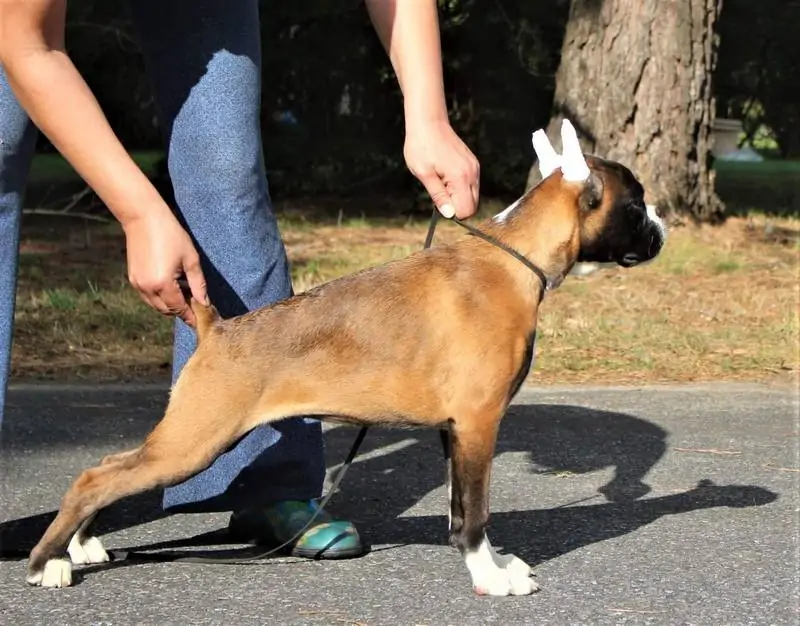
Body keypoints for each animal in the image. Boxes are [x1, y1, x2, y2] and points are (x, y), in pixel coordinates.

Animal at [25, 120, 664, 596]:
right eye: (637, 203)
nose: (662, 225)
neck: (514, 260)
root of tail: (218, 328)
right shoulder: (480, 424)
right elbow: (477, 513)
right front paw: (490, 576)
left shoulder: (455, 430)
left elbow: (459, 510)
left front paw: (490, 564)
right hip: (194, 443)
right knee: (95, 477)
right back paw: (47, 563)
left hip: (187, 440)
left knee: (106, 469)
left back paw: (81, 546)